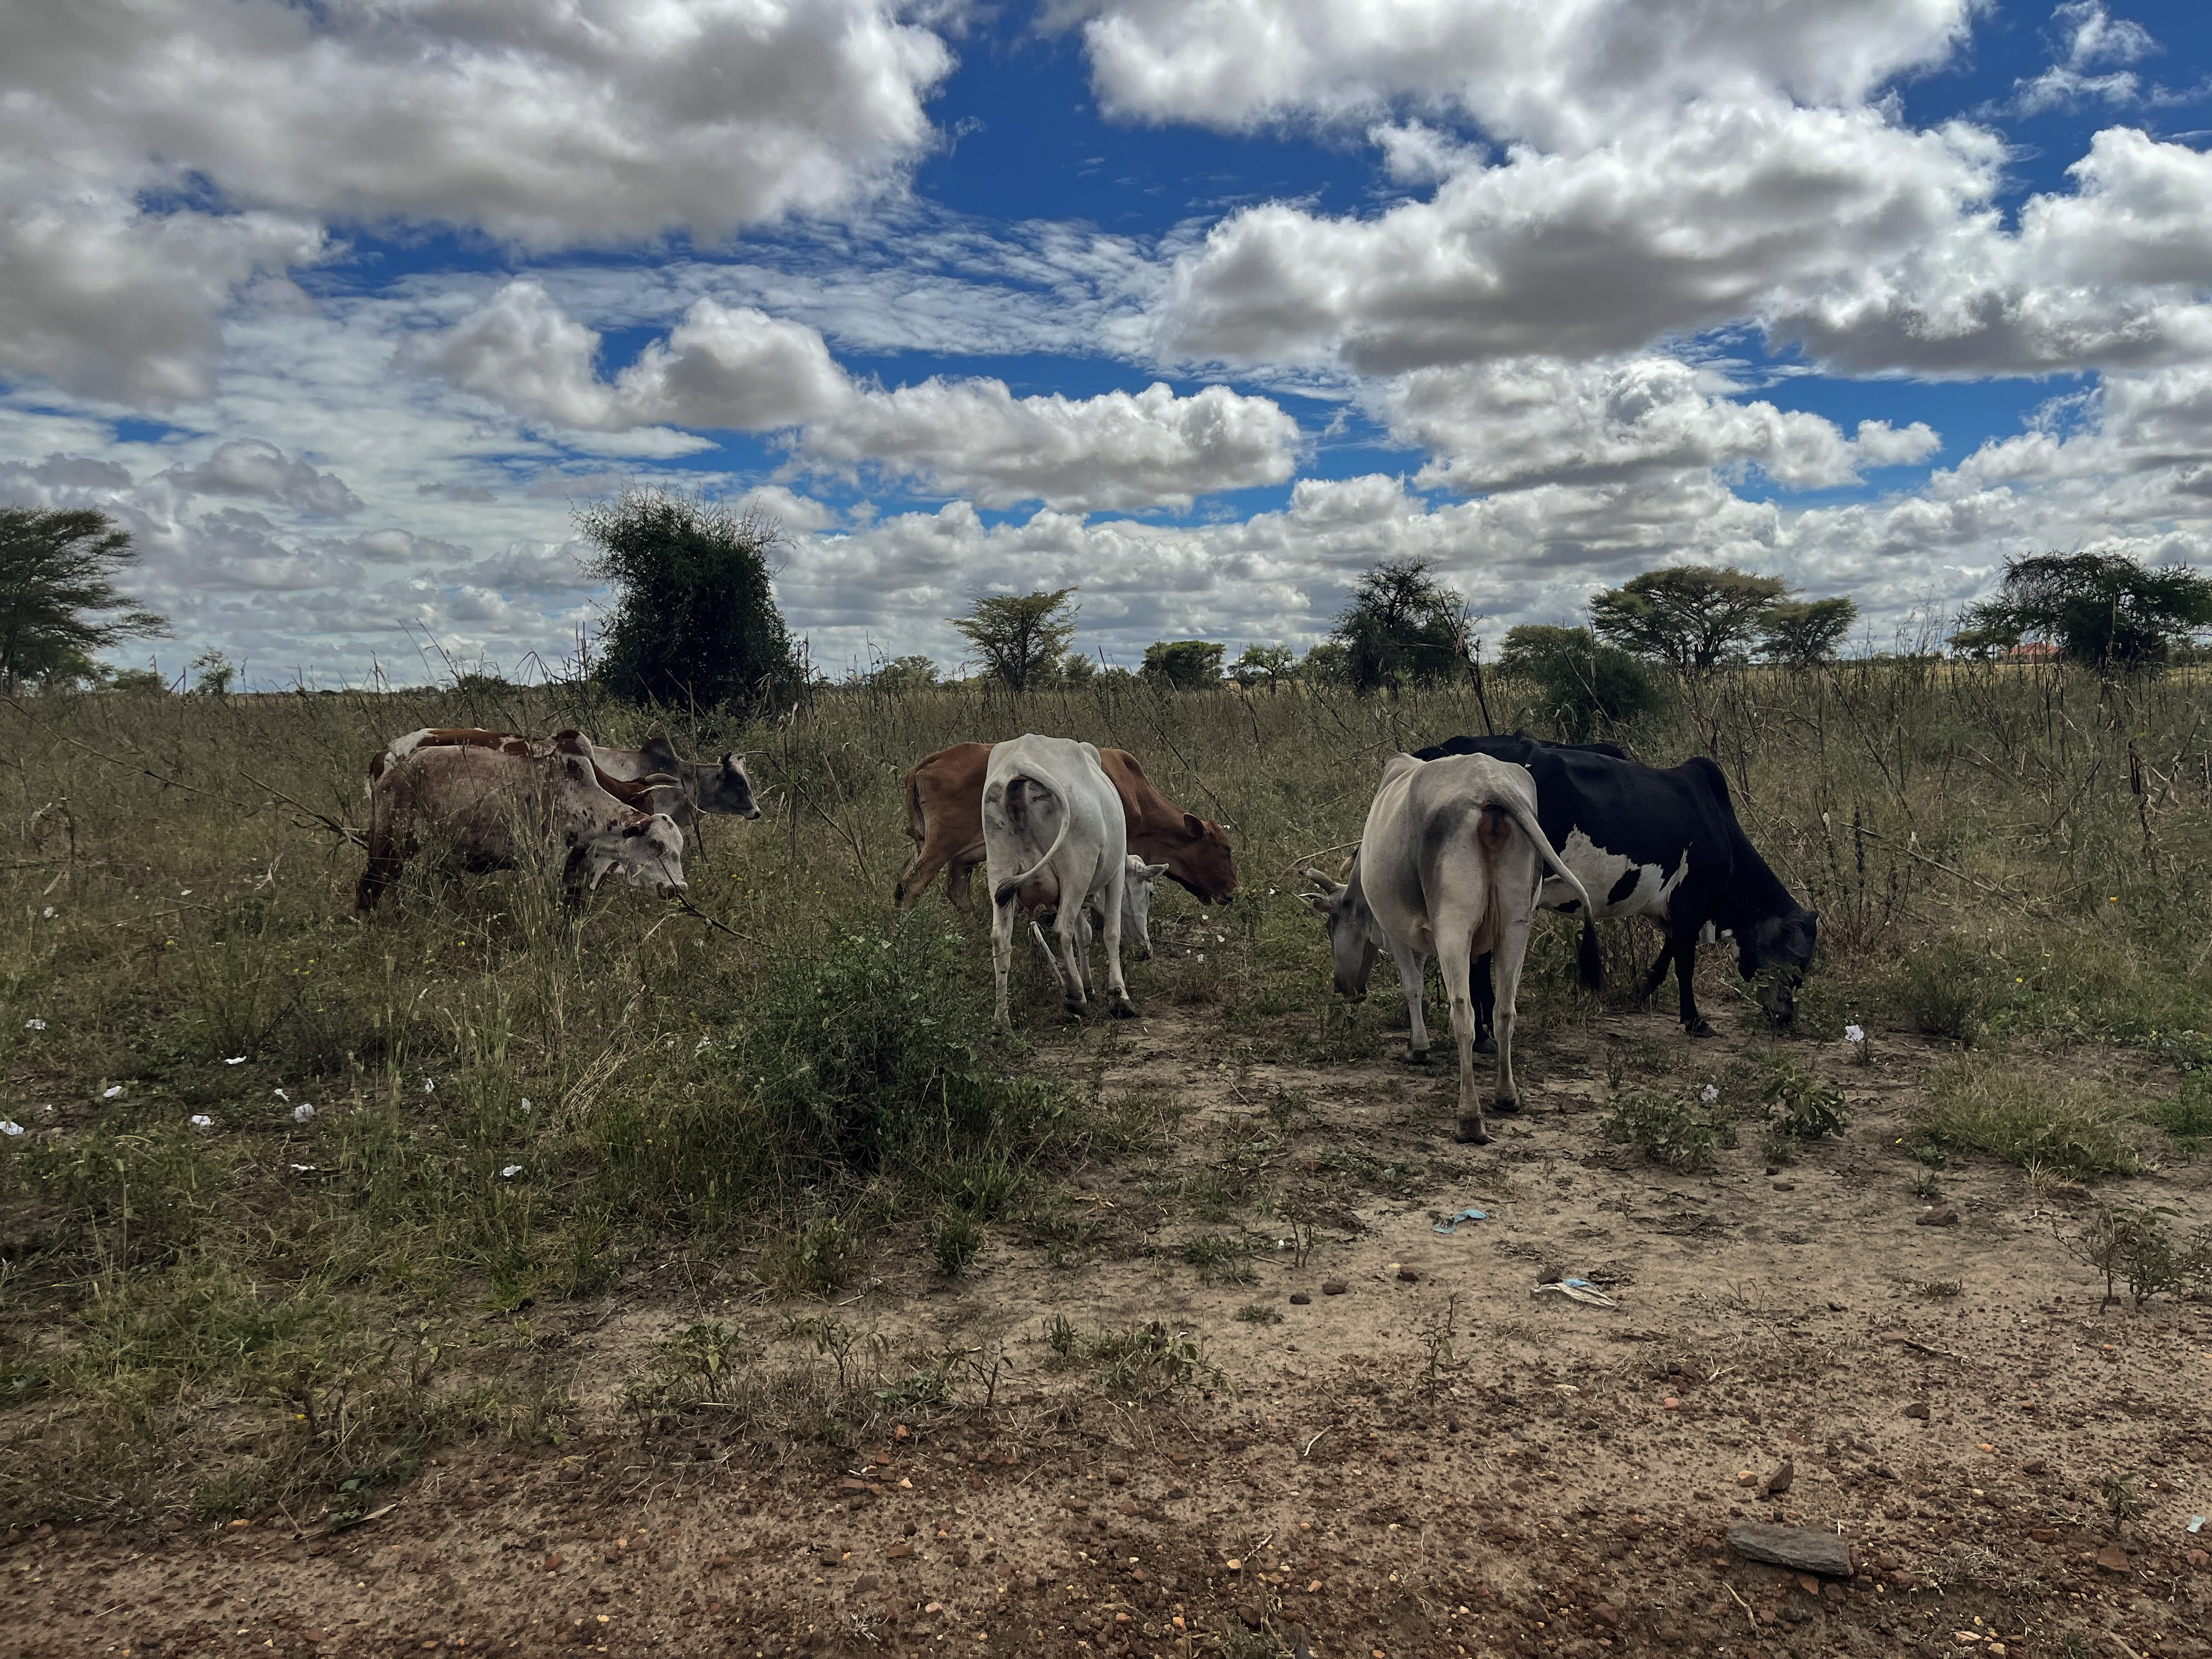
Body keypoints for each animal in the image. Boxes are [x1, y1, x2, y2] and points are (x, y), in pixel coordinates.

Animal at [356, 734, 687, 914]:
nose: (678, 888)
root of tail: (389, 771)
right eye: (655, 845)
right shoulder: (548, 867)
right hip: (390, 845)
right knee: (368, 889)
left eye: (679, 849)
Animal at [895, 741, 1236, 912]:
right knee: (911, 884)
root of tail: (935, 758)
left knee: (954, 892)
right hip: (941, 845)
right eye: (1224, 850)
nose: (1234, 892)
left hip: (955, 853)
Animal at [982, 735, 1139, 1026]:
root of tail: (1021, 760)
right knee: (1062, 930)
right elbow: (1111, 933)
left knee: (1001, 939)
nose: (1146, 951)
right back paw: (1076, 996)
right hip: (1077, 868)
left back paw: (1002, 1017)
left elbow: (1084, 933)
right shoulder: (1115, 875)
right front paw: (1119, 995)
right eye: (1149, 893)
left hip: (999, 871)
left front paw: (1090, 984)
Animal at [1302, 752, 1592, 1145]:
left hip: (1453, 926)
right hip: (1516, 926)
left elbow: (1413, 988)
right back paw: (1506, 1095)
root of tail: (1490, 784)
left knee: (1463, 1016)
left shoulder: (1397, 932)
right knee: (1505, 1010)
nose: (1342, 987)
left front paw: (1419, 1048)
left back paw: (1469, 1117)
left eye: (1330, 927)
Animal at [1413, 733, 1818, 1037]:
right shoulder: (1691, 899)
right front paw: (1694, 1020)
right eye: (1796, 966)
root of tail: (1444, 751)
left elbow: (1669, 952)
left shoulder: (1671, 905)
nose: (1785, 1017)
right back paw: (1484, 1034)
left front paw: (1643, 990)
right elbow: (1685, 963)